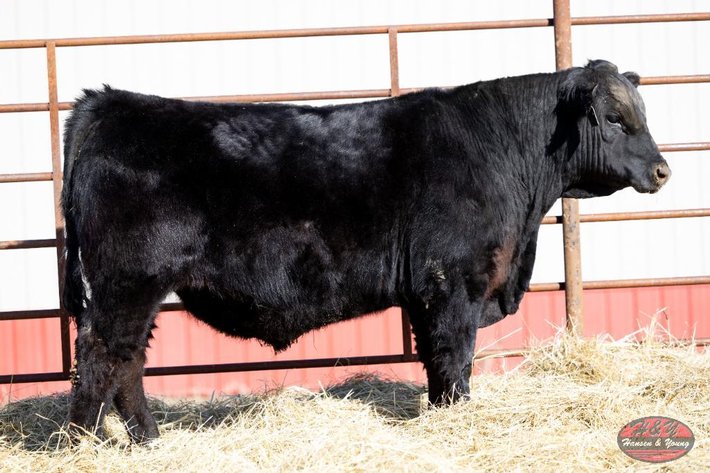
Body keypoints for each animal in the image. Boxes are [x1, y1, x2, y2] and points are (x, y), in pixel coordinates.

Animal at [61, 60, 670, 443]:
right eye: (615, 119)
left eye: (641, 114)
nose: (663, 170)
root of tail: (109, 103)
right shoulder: (453, 282)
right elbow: (455, 356)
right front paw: (456, 418)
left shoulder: (429, 291)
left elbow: (434, 361)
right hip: (128, 281)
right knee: (100, 356)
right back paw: (82, 444)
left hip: (136, 288)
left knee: (128, 360)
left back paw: (146, 441)